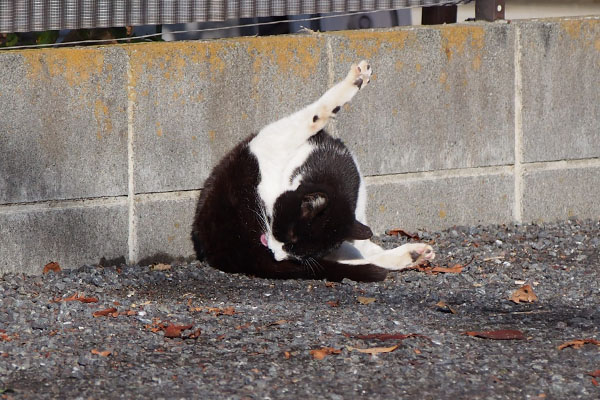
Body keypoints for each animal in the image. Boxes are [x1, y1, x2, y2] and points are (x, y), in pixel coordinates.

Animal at [190, 61, 434, 282]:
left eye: (297, 250)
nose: (277, 256)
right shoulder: (272, 143)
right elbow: (314, 117)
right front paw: (356, 80)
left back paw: (413, 255)